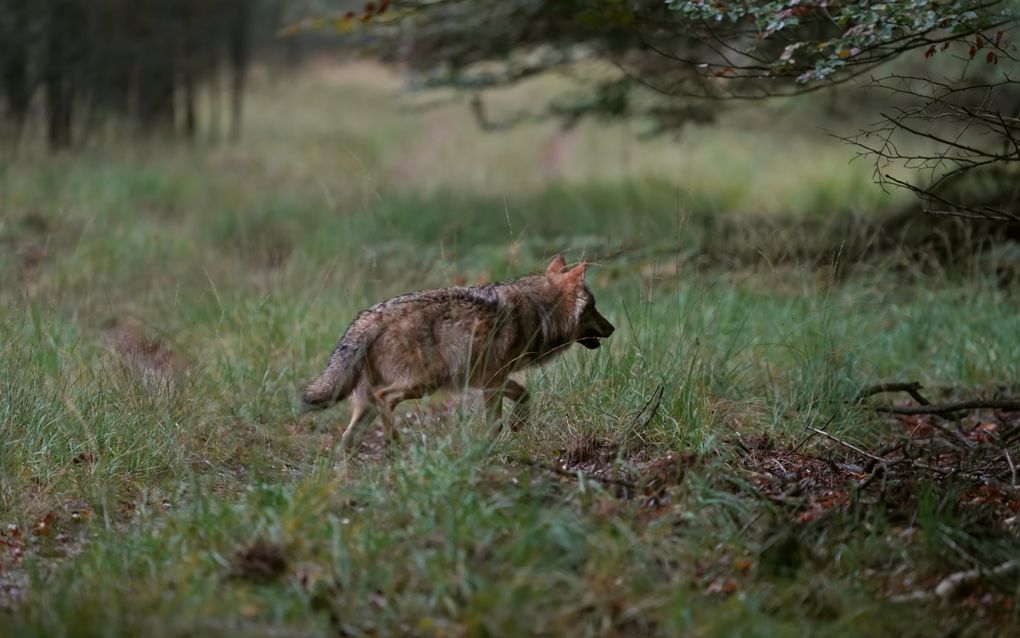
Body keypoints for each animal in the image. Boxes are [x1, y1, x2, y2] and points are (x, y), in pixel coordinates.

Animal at [301, 254, 612, 447]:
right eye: (594, 306)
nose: (613, 328)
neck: (540, 311)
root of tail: (371, 316)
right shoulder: (492, 382)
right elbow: (495, 423)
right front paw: (491, 447)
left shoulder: (492, 379)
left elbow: (524, 396)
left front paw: (518, 425)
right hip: (424, 383)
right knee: (384, 400)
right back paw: (397, 446)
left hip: (371, 401)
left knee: (347, 438)